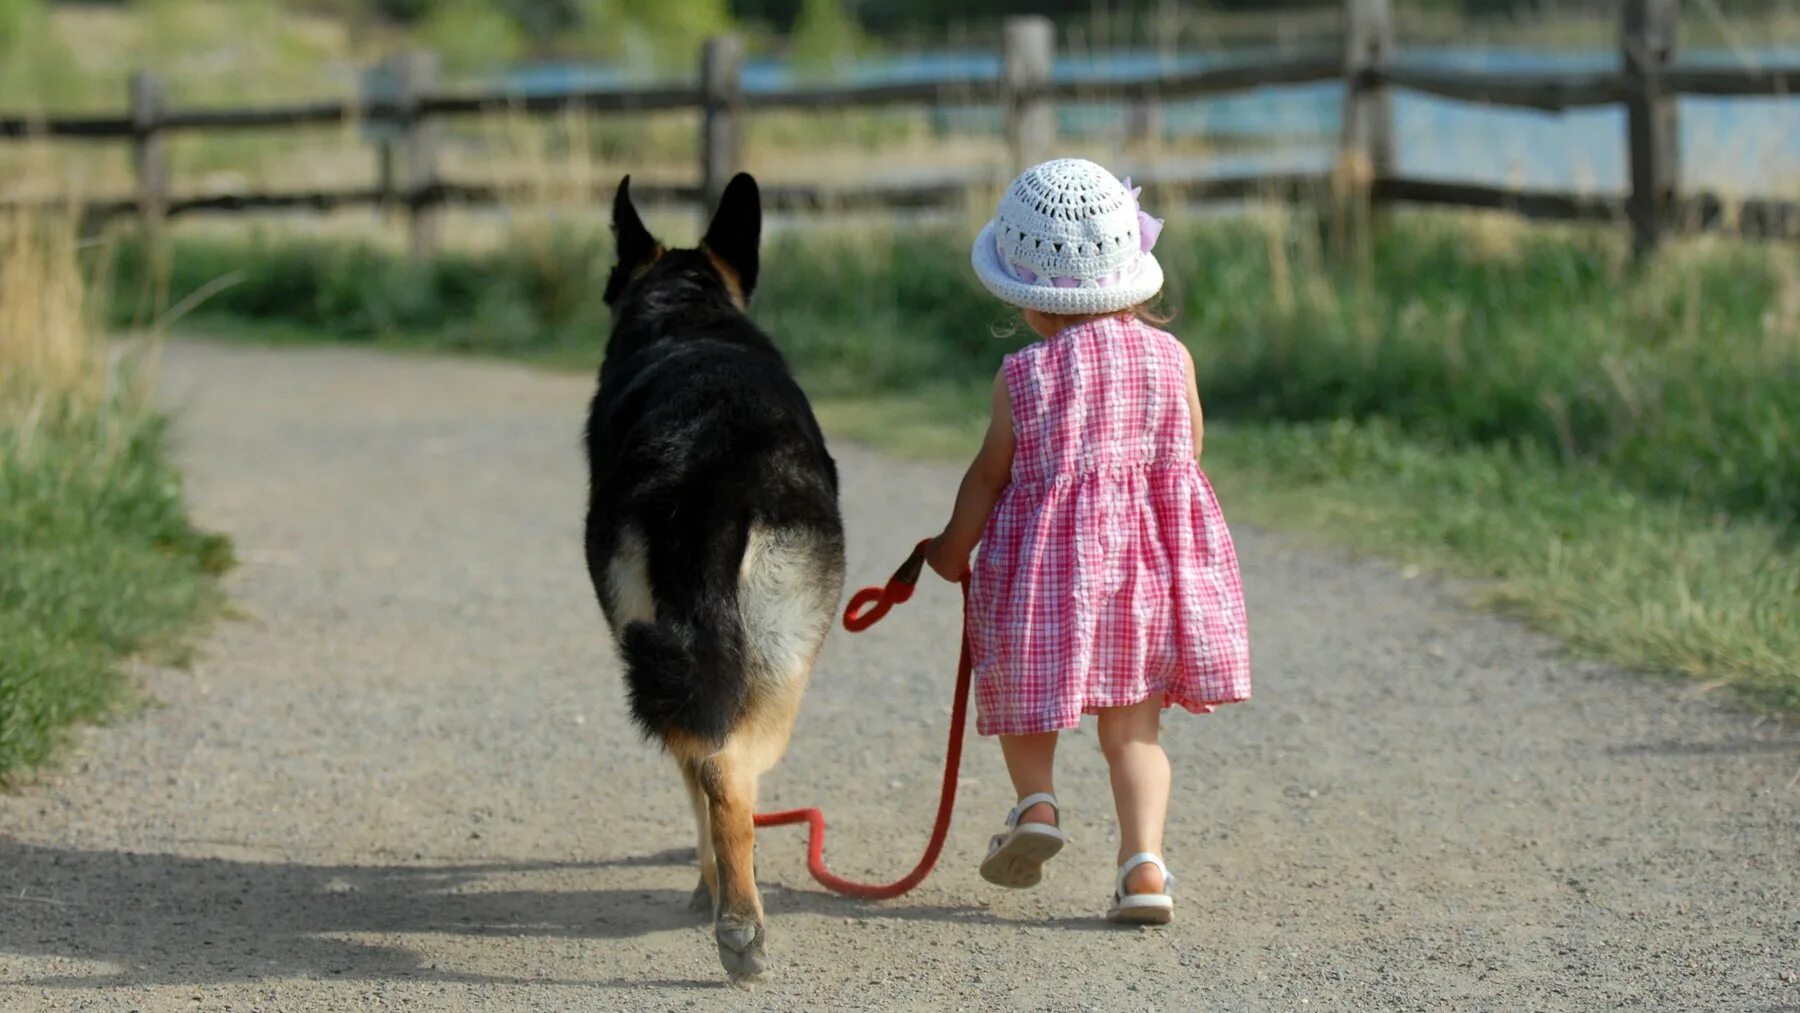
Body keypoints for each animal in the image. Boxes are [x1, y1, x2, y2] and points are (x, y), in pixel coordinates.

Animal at [586, 174, 846, 986]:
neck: (687, 312)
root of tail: (710, 465)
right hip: (773, 667)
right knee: (725, 776)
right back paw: (738, 921)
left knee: (713, 770)